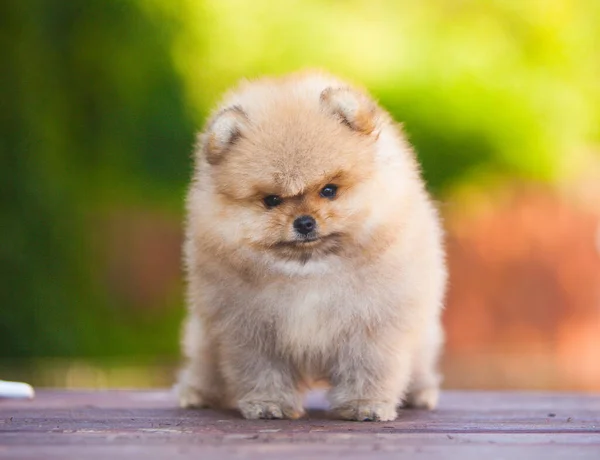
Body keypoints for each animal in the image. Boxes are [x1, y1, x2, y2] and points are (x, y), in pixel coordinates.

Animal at [176, 71, 448, 420]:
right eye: (272, 200)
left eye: (328, 190)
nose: (304, 222)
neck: (310, 270)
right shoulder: (250, 332)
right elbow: (262, 371)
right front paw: (268, 404)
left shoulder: (375, 325)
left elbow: (370, 368)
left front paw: (365, 405)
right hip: (205, 335)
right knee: (205, 365)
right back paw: (197, 393)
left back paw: (419, 394)